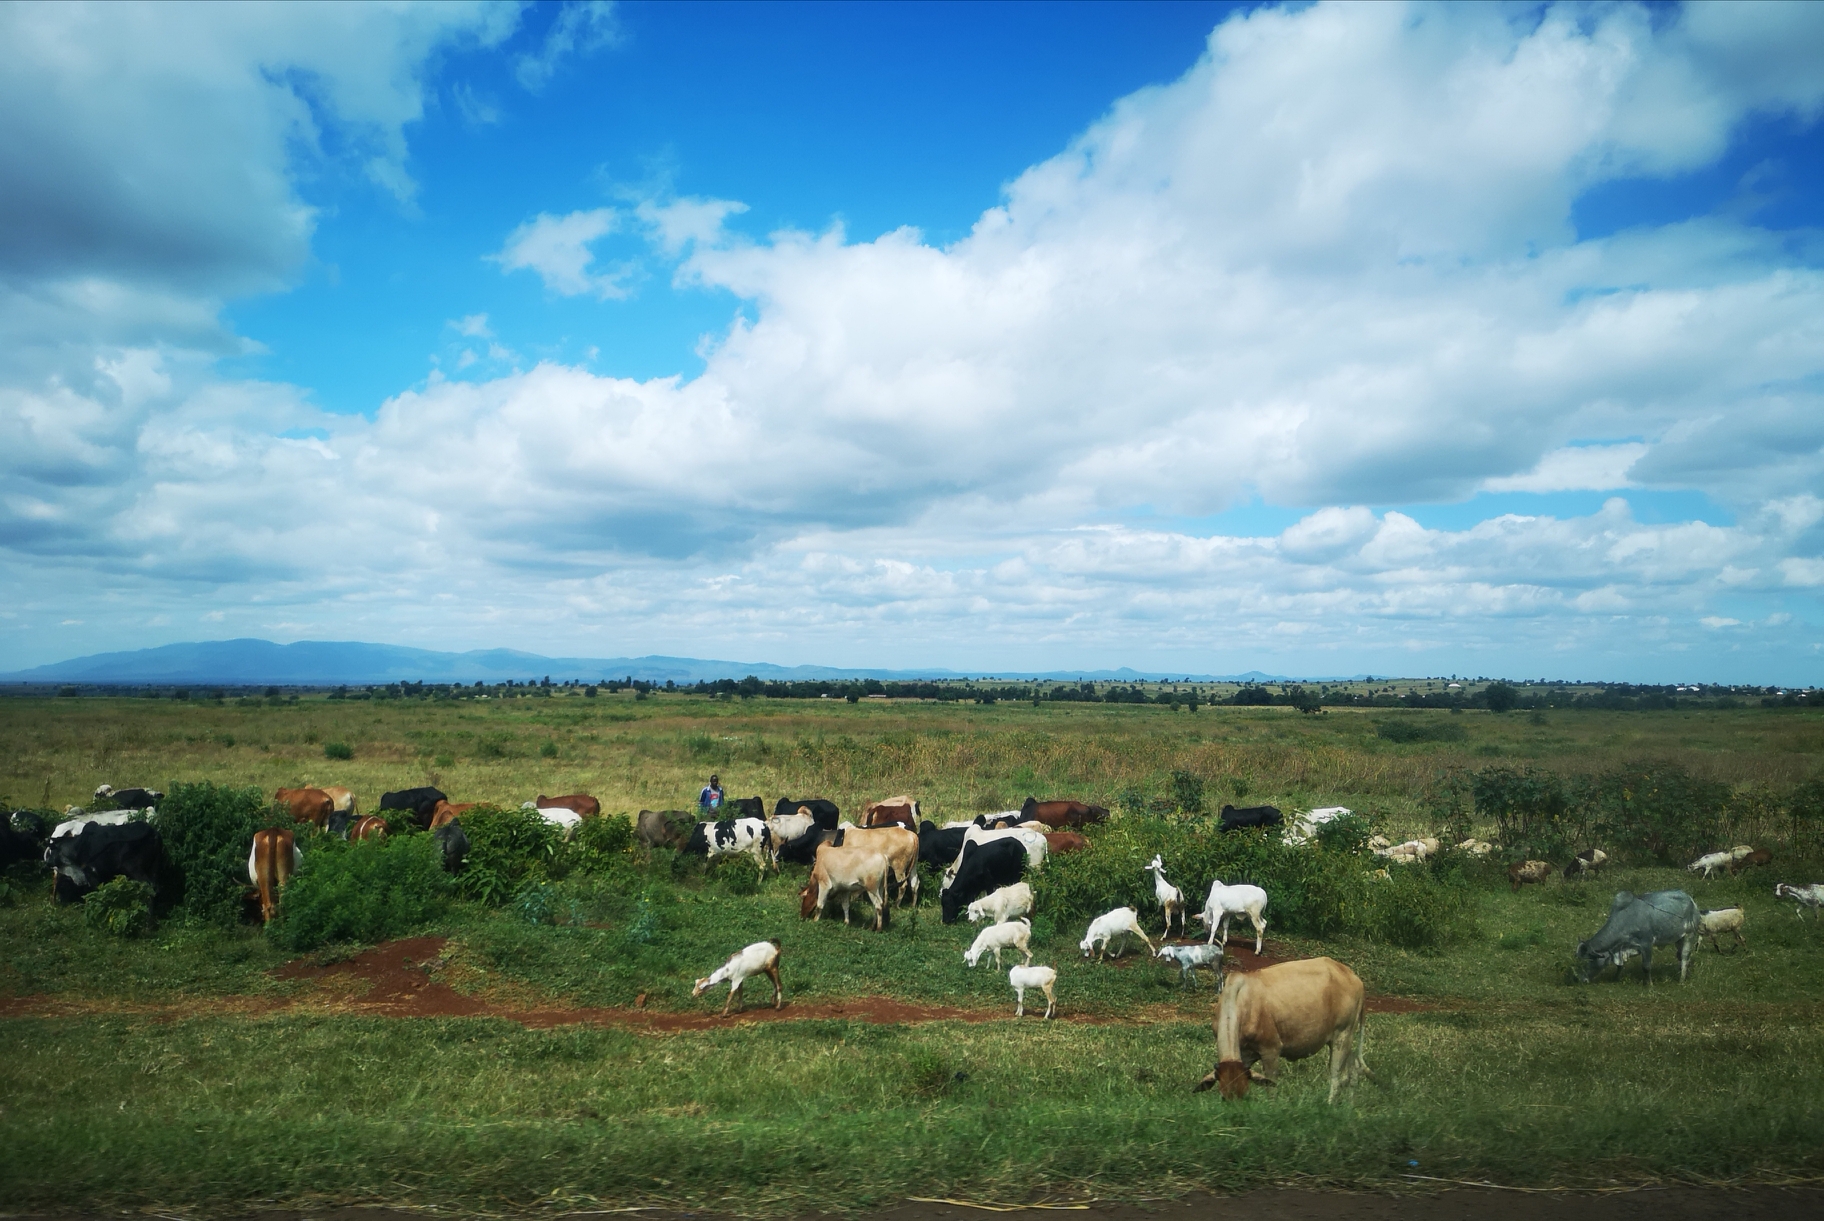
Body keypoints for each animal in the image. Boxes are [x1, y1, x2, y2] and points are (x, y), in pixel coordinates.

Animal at [1196, 949, 1371, 1102]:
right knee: (1353, 1069)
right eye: (1224, 1098)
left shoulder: (1271, 1050)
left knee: (1337, 1077)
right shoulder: (1244, 1054)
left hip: (1343, 1034)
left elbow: (1271, 1089)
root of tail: (1353, 977)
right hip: (1342, 1039)